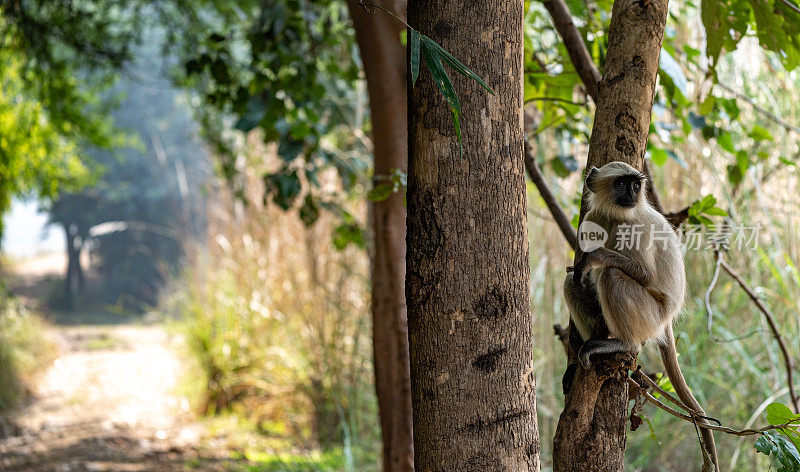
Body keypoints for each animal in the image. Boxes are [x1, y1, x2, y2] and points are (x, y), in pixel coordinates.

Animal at [564, 161, 720, 468]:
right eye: (623, 184)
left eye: (636, 185)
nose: (633, 194)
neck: (616, 215)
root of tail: (667, 317)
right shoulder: (592, 216)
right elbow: (579, 276)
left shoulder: (635, 227)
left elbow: (644, 275)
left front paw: (594, 257)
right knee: (571, 282)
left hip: (650, 315)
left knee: (612, 276)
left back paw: (624, 344)